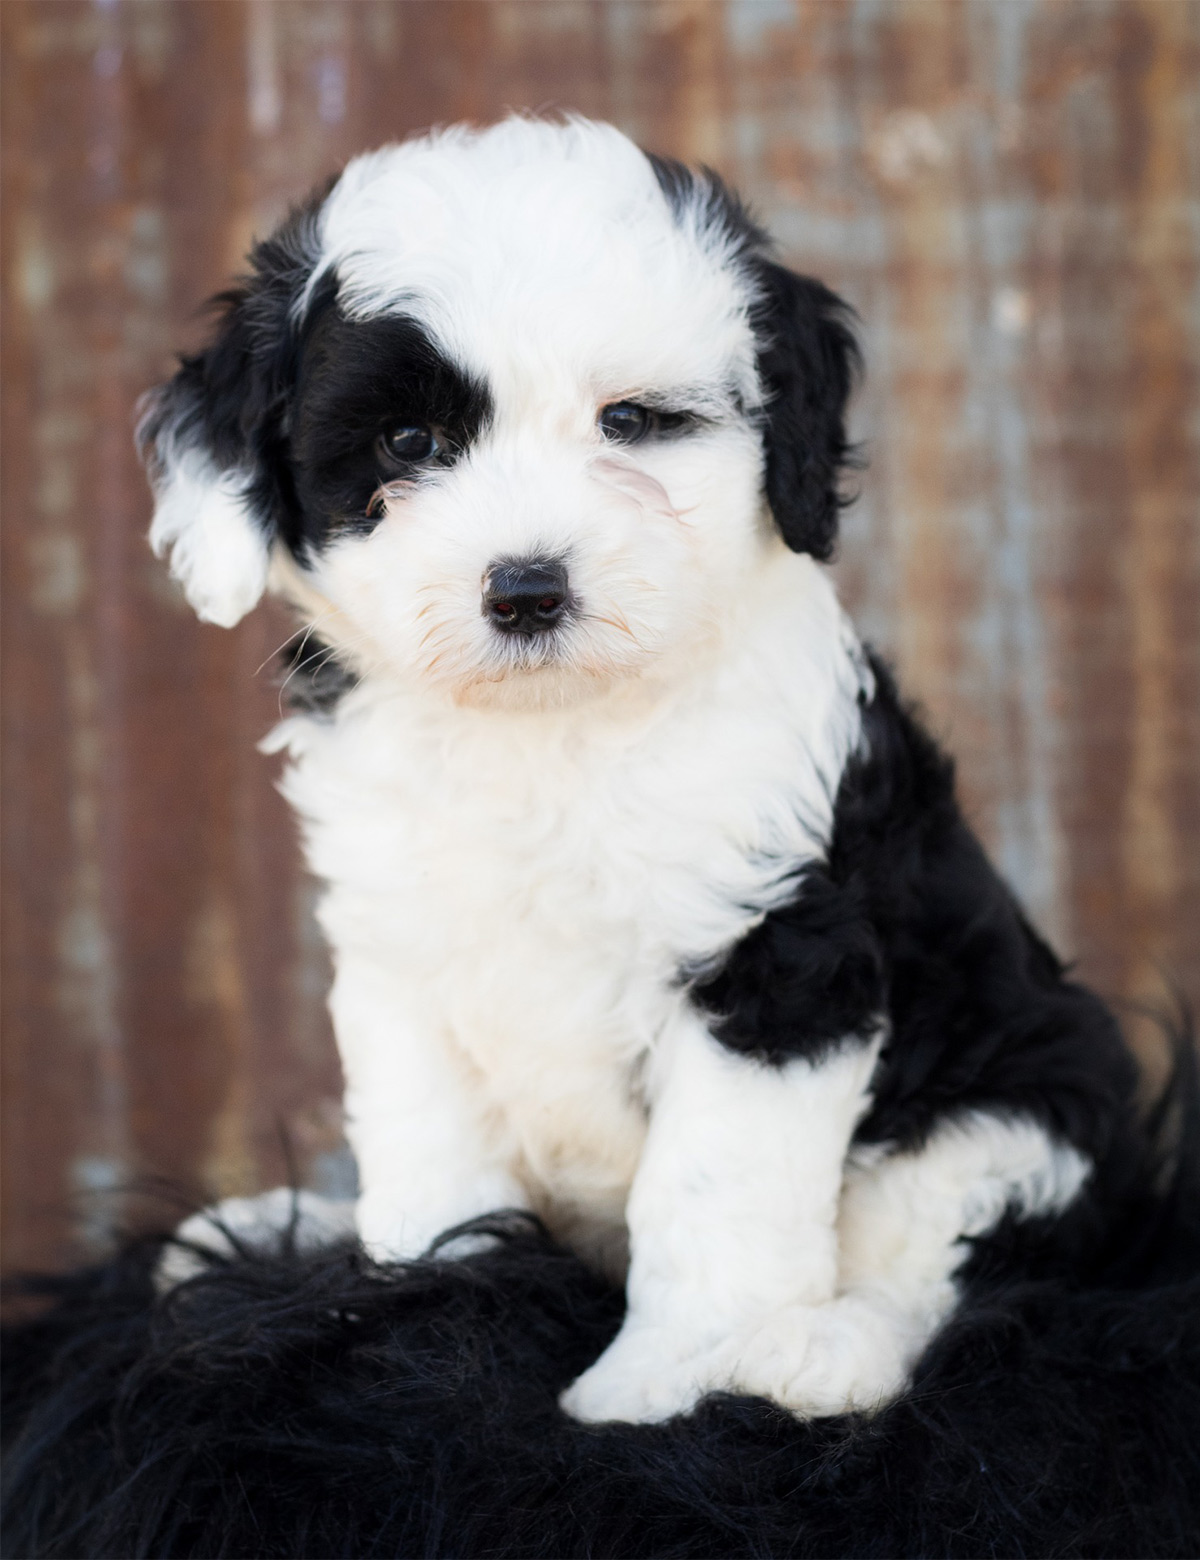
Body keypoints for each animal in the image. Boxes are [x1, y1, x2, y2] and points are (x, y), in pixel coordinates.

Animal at [140, 118, 1136, 1428]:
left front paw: (664, 1387)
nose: (526, 590)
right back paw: (280, 1226)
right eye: (407, 443)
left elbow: (714, 1190)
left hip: (1024, 1096)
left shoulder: (776, 961)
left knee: (947, 1261)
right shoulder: (400, 958)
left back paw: (822, 1351)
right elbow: (431, 1160)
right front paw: (421, 1306)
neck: (554, 729)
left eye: (635, 423)